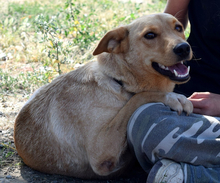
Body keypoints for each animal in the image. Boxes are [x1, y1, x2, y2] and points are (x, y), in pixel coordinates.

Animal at [14, 13, 192, 179]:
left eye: (178, 28)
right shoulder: (100, 152)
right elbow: (138, 98)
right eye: (149, 35)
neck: (119, 82)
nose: (184, 48)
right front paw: (173, 97)